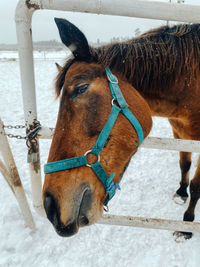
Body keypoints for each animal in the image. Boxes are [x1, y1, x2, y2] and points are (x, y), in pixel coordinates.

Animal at [43, 18, 200, 241]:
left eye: (81, 88)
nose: (50, 205)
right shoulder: (179, 133)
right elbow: (184, 165)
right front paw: (181, 192)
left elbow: (196, 186)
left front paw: (186, 224)